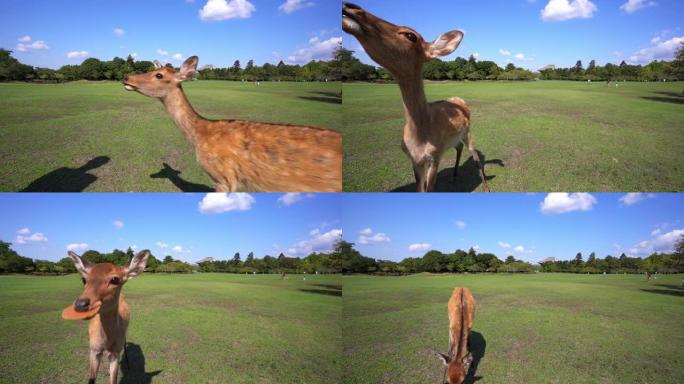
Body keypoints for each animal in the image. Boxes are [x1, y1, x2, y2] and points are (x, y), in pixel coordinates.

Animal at [61, 249, 151, 384]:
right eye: (84, 279)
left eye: (115, 279)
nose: (80, 304)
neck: (106, 341)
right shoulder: (93, 349)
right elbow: (91, 379)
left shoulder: (115, 353)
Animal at [342, 2, 492, 192]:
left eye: (410, 35)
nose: (351, 7)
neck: (419, 140)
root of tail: (459, 99)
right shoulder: (415, 160)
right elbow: (420, 188)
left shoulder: (435, 156)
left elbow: (430, 187)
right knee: (458, 147)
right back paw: (454, 176)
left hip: (468, 132)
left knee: (475, 155)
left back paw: (486, 187)